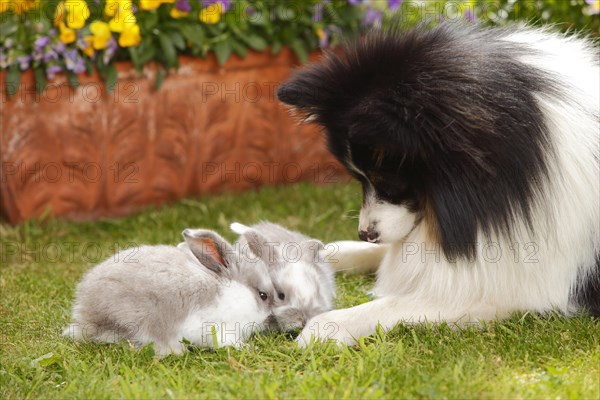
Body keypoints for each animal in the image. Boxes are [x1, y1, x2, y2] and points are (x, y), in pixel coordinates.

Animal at [63, 228, 276, 356]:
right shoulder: (220, 327)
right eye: (263, 295)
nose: (269, 319)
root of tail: (86, 316)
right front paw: (247, 347)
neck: (231, 292)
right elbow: (226, 341)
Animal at [278, 23, 600, 346]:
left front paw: (325, 327)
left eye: (388, 182)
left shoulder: (508, 285)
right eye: (359, 179)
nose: (365, 233)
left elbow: (393, 302)